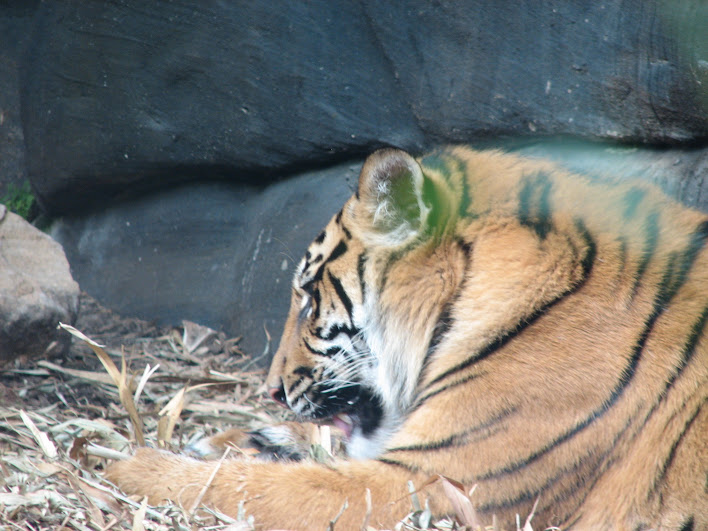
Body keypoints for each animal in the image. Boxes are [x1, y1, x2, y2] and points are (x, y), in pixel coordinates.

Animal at [106, 146, 707, 530]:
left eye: (309, 298)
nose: (270, 390)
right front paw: (238, 439)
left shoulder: (440, 481)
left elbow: (258, 488)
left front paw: (133, 466)